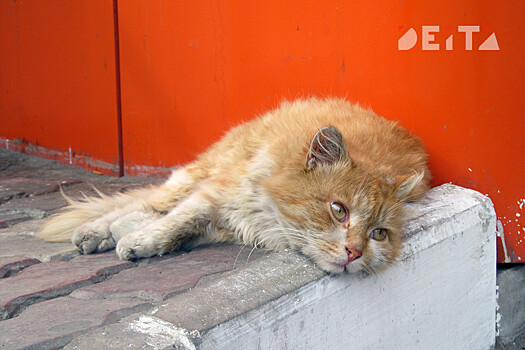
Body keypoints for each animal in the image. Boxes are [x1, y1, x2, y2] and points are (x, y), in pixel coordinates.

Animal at [37, 98, 430, 274]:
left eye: (379, 234)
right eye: (338, 210)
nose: (354, 253)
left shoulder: (230, 220)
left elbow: (183, 231)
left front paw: (138, 238)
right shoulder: (220, 194)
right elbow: (177, 221)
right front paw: (139, 240)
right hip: (196, 175)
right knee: (146, 202)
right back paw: (96, 232)